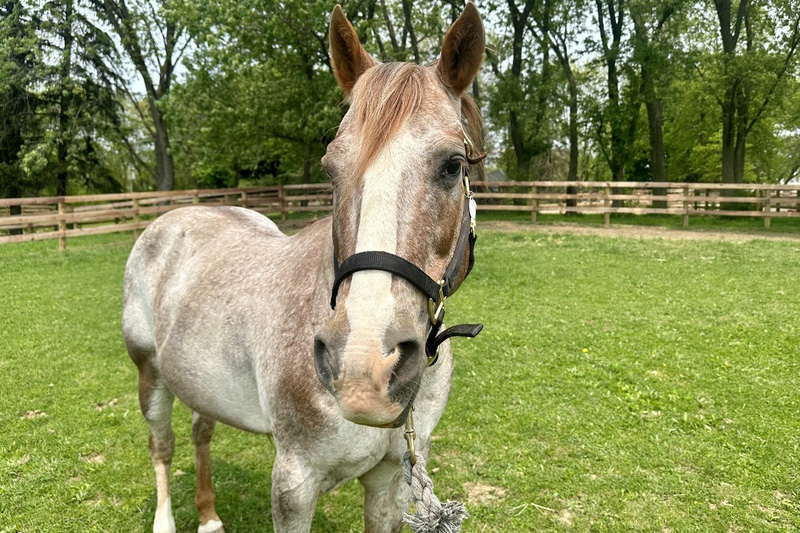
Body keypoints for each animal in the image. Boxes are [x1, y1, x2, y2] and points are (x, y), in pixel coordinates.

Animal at [123, 5, 488, 532]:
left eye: (453, 165)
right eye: (331, 168)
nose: (363, 370)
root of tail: (172, 220)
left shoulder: (387, 482)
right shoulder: (294, 484)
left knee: (201, 431)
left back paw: (209, 516)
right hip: (150, 376)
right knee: (163, 447)